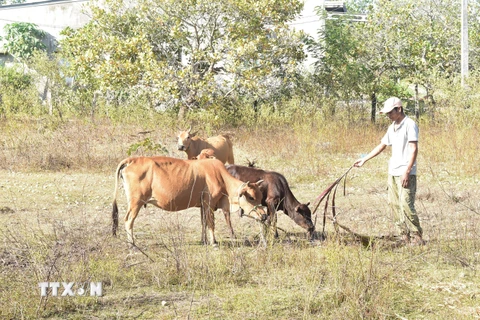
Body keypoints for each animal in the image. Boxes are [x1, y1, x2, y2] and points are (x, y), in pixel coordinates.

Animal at [111, 157, 266, 245]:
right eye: (251, 197)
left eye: (260, 196)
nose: (263, 215)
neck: (221, 177)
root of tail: (132, 160)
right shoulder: (209, 204)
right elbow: (211, 223)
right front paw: (214, 242)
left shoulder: (202, 206)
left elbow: (204, 223)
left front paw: (204, 240)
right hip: (135, 202)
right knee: (128, 220)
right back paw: (132, 244)